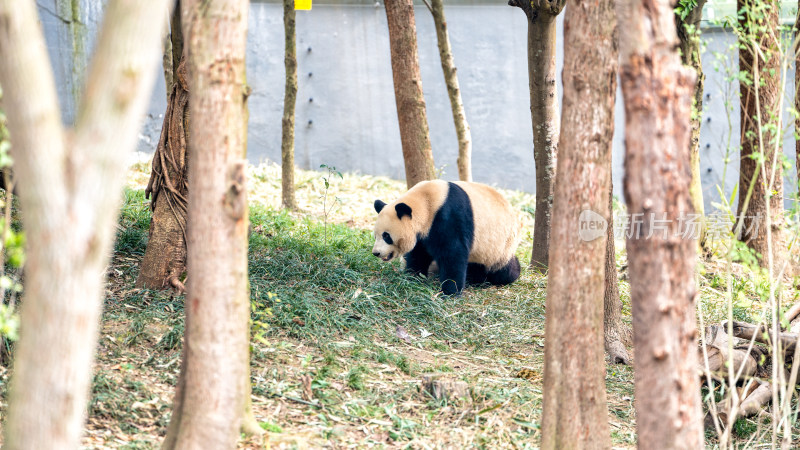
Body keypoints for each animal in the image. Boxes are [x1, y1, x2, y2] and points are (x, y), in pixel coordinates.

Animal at [372, 179, 520, 296]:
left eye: (386, 236)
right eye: (375, 236)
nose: (376, 253)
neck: (427, 202)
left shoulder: (449, 218)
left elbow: (452, 254)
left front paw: (449, 291)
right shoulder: (424, 232)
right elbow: (419, 254)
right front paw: (412, 276)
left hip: (498, 248)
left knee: (503, 271)